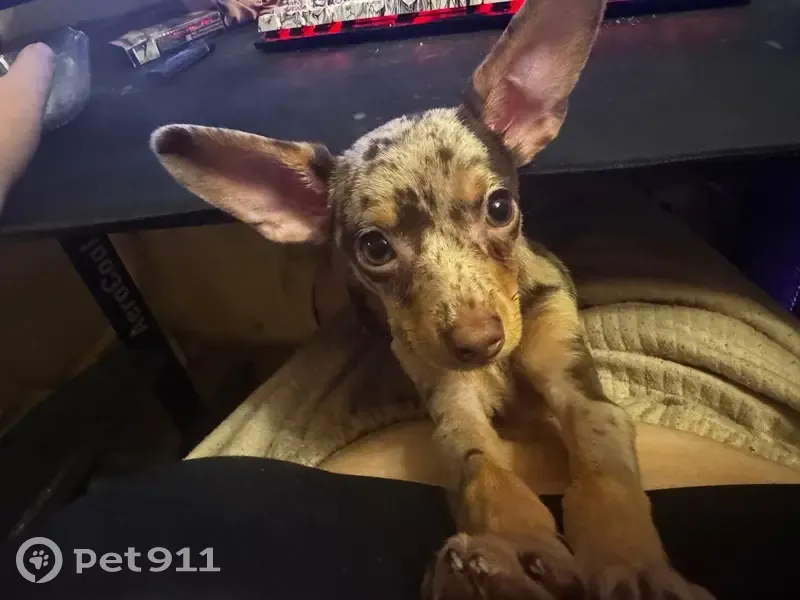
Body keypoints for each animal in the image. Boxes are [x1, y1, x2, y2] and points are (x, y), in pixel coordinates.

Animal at [150, 0, 714, 597]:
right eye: (375, 247)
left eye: (499, 207)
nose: (479, 343)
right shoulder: (451, 409)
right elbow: (482, 469)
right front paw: (521, 547)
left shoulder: (579, 387)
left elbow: (603, 465)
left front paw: (629, 562)